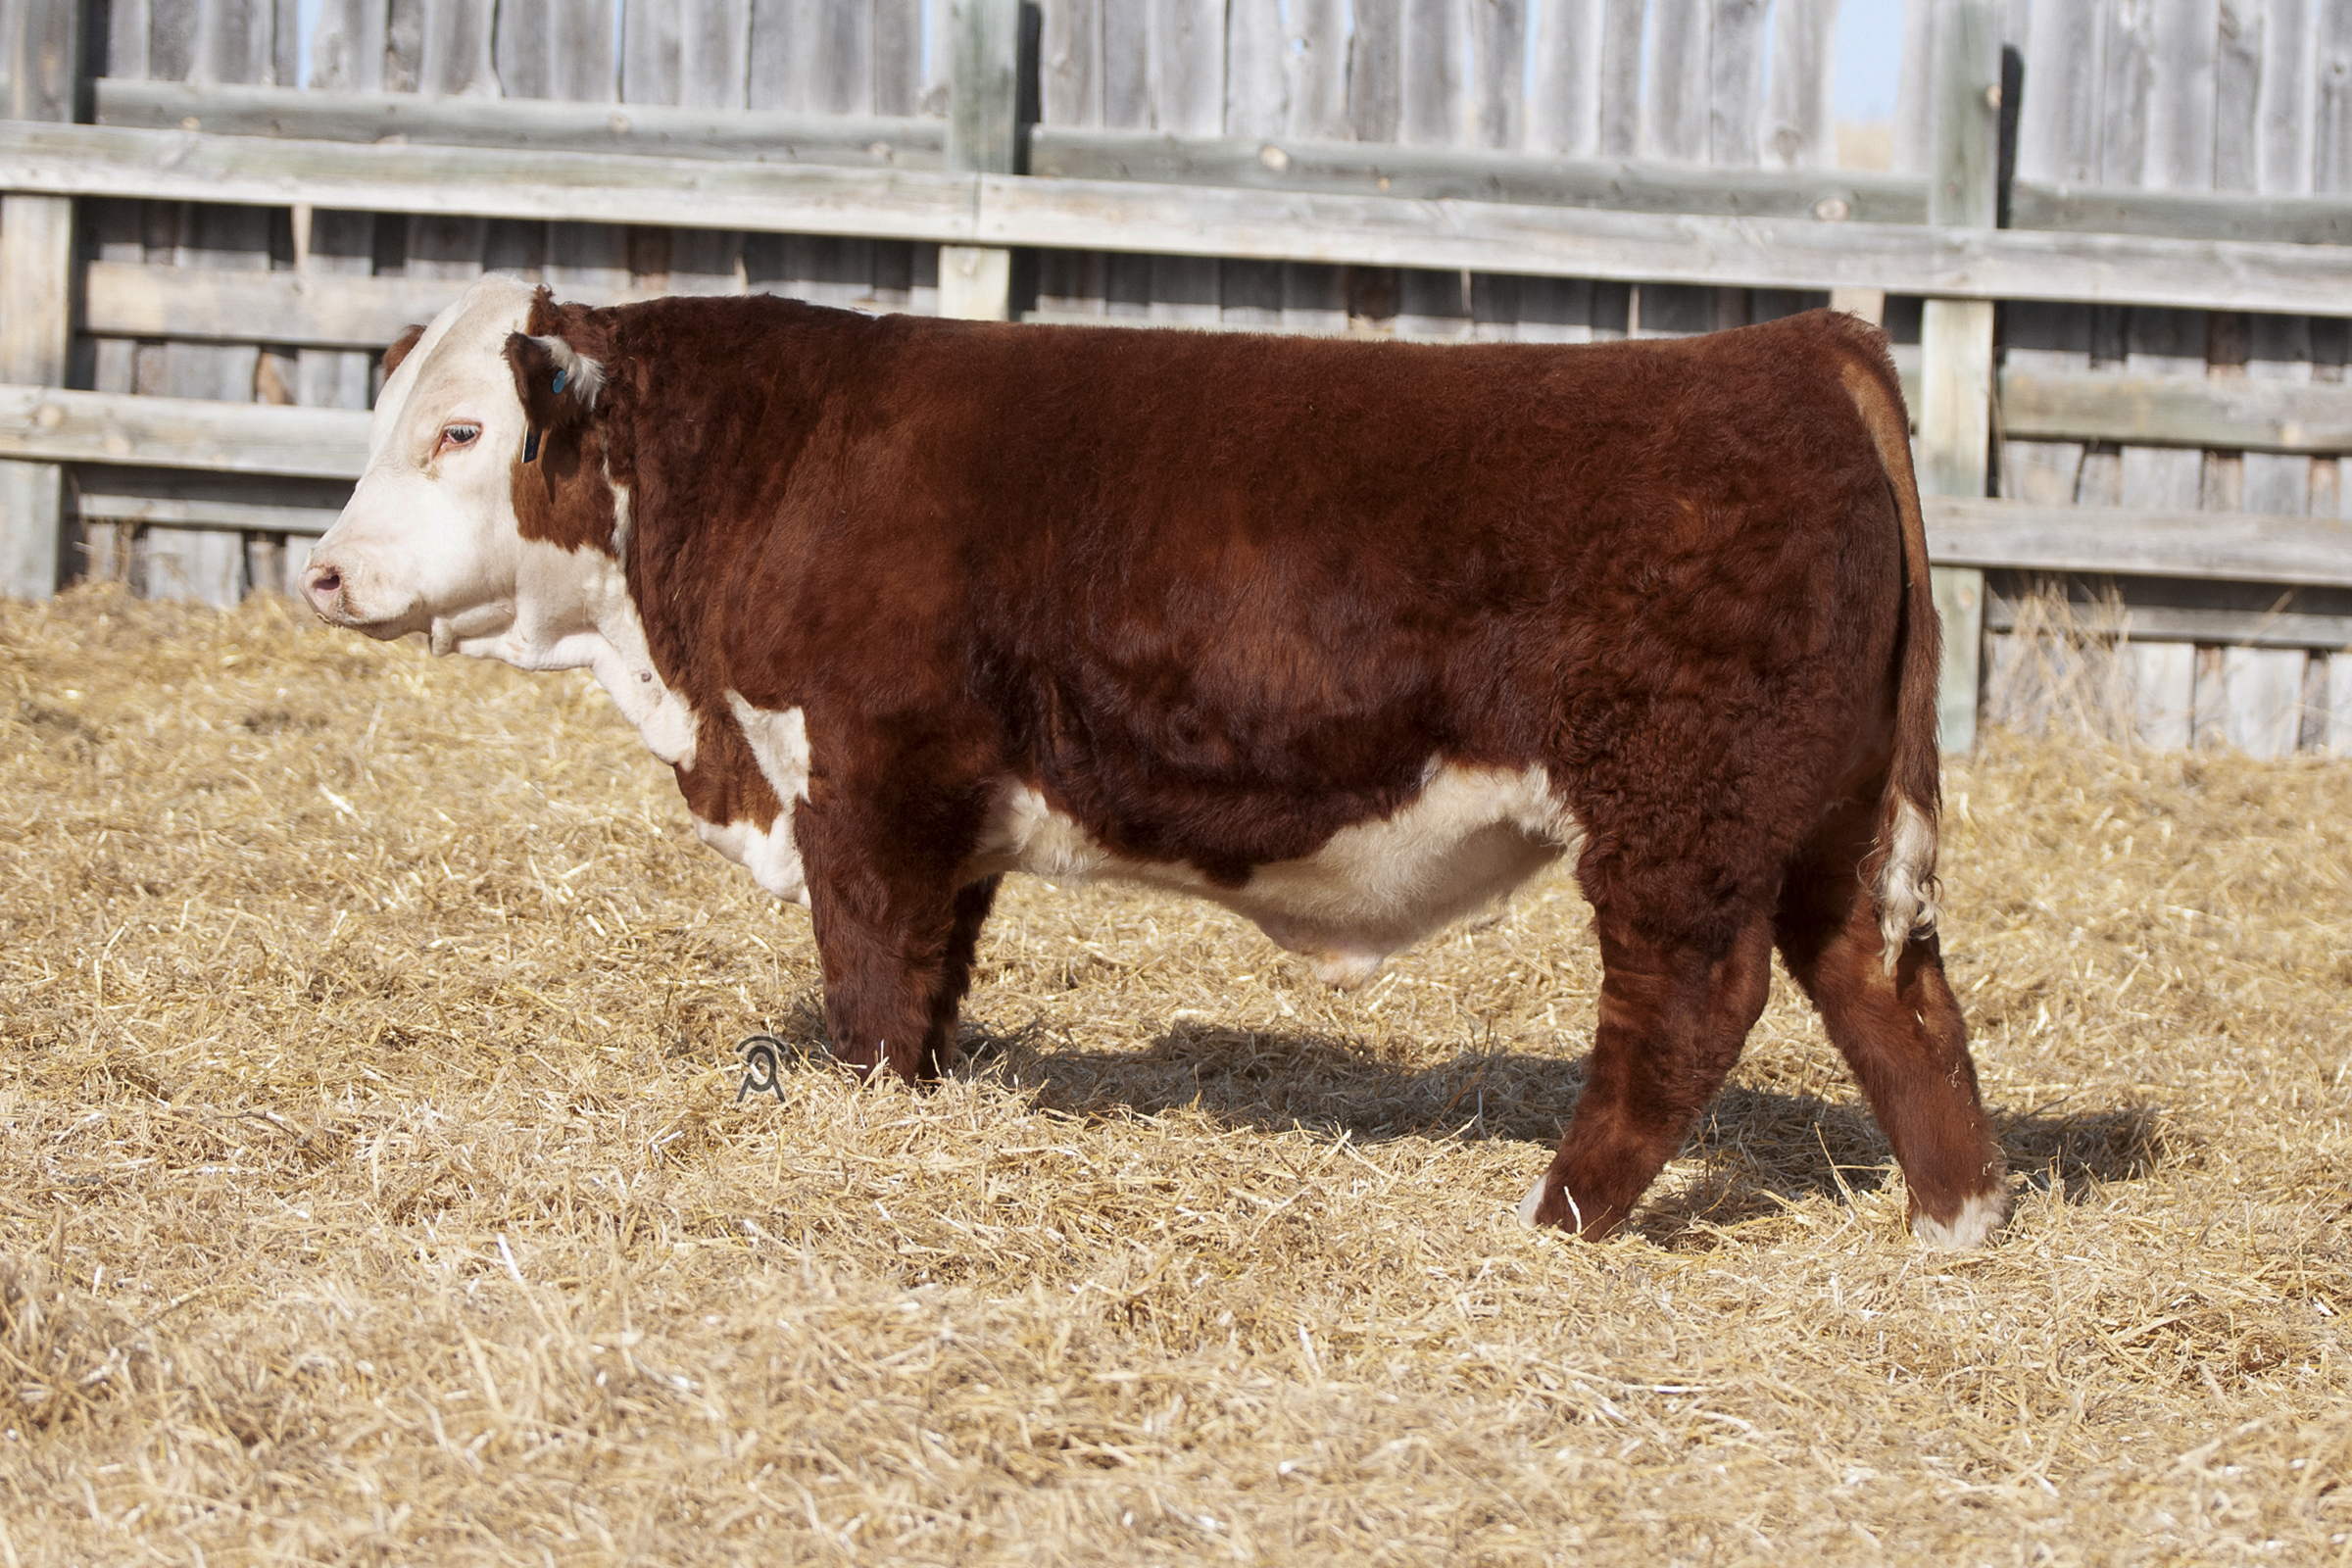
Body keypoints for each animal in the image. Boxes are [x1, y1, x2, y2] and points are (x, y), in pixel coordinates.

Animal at [304, 273, 2007, 1248]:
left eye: (460, 433)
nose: (322, 574)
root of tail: (1796, 345)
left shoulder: (872, 782)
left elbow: (872, 981)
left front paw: (864, 1114)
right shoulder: (949, 806)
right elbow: (934, 977)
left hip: (1678, 816)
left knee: (1690, 1006)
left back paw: (1557, 1214)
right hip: (1835, 821)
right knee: (1887, 982)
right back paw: (1957, 1219)